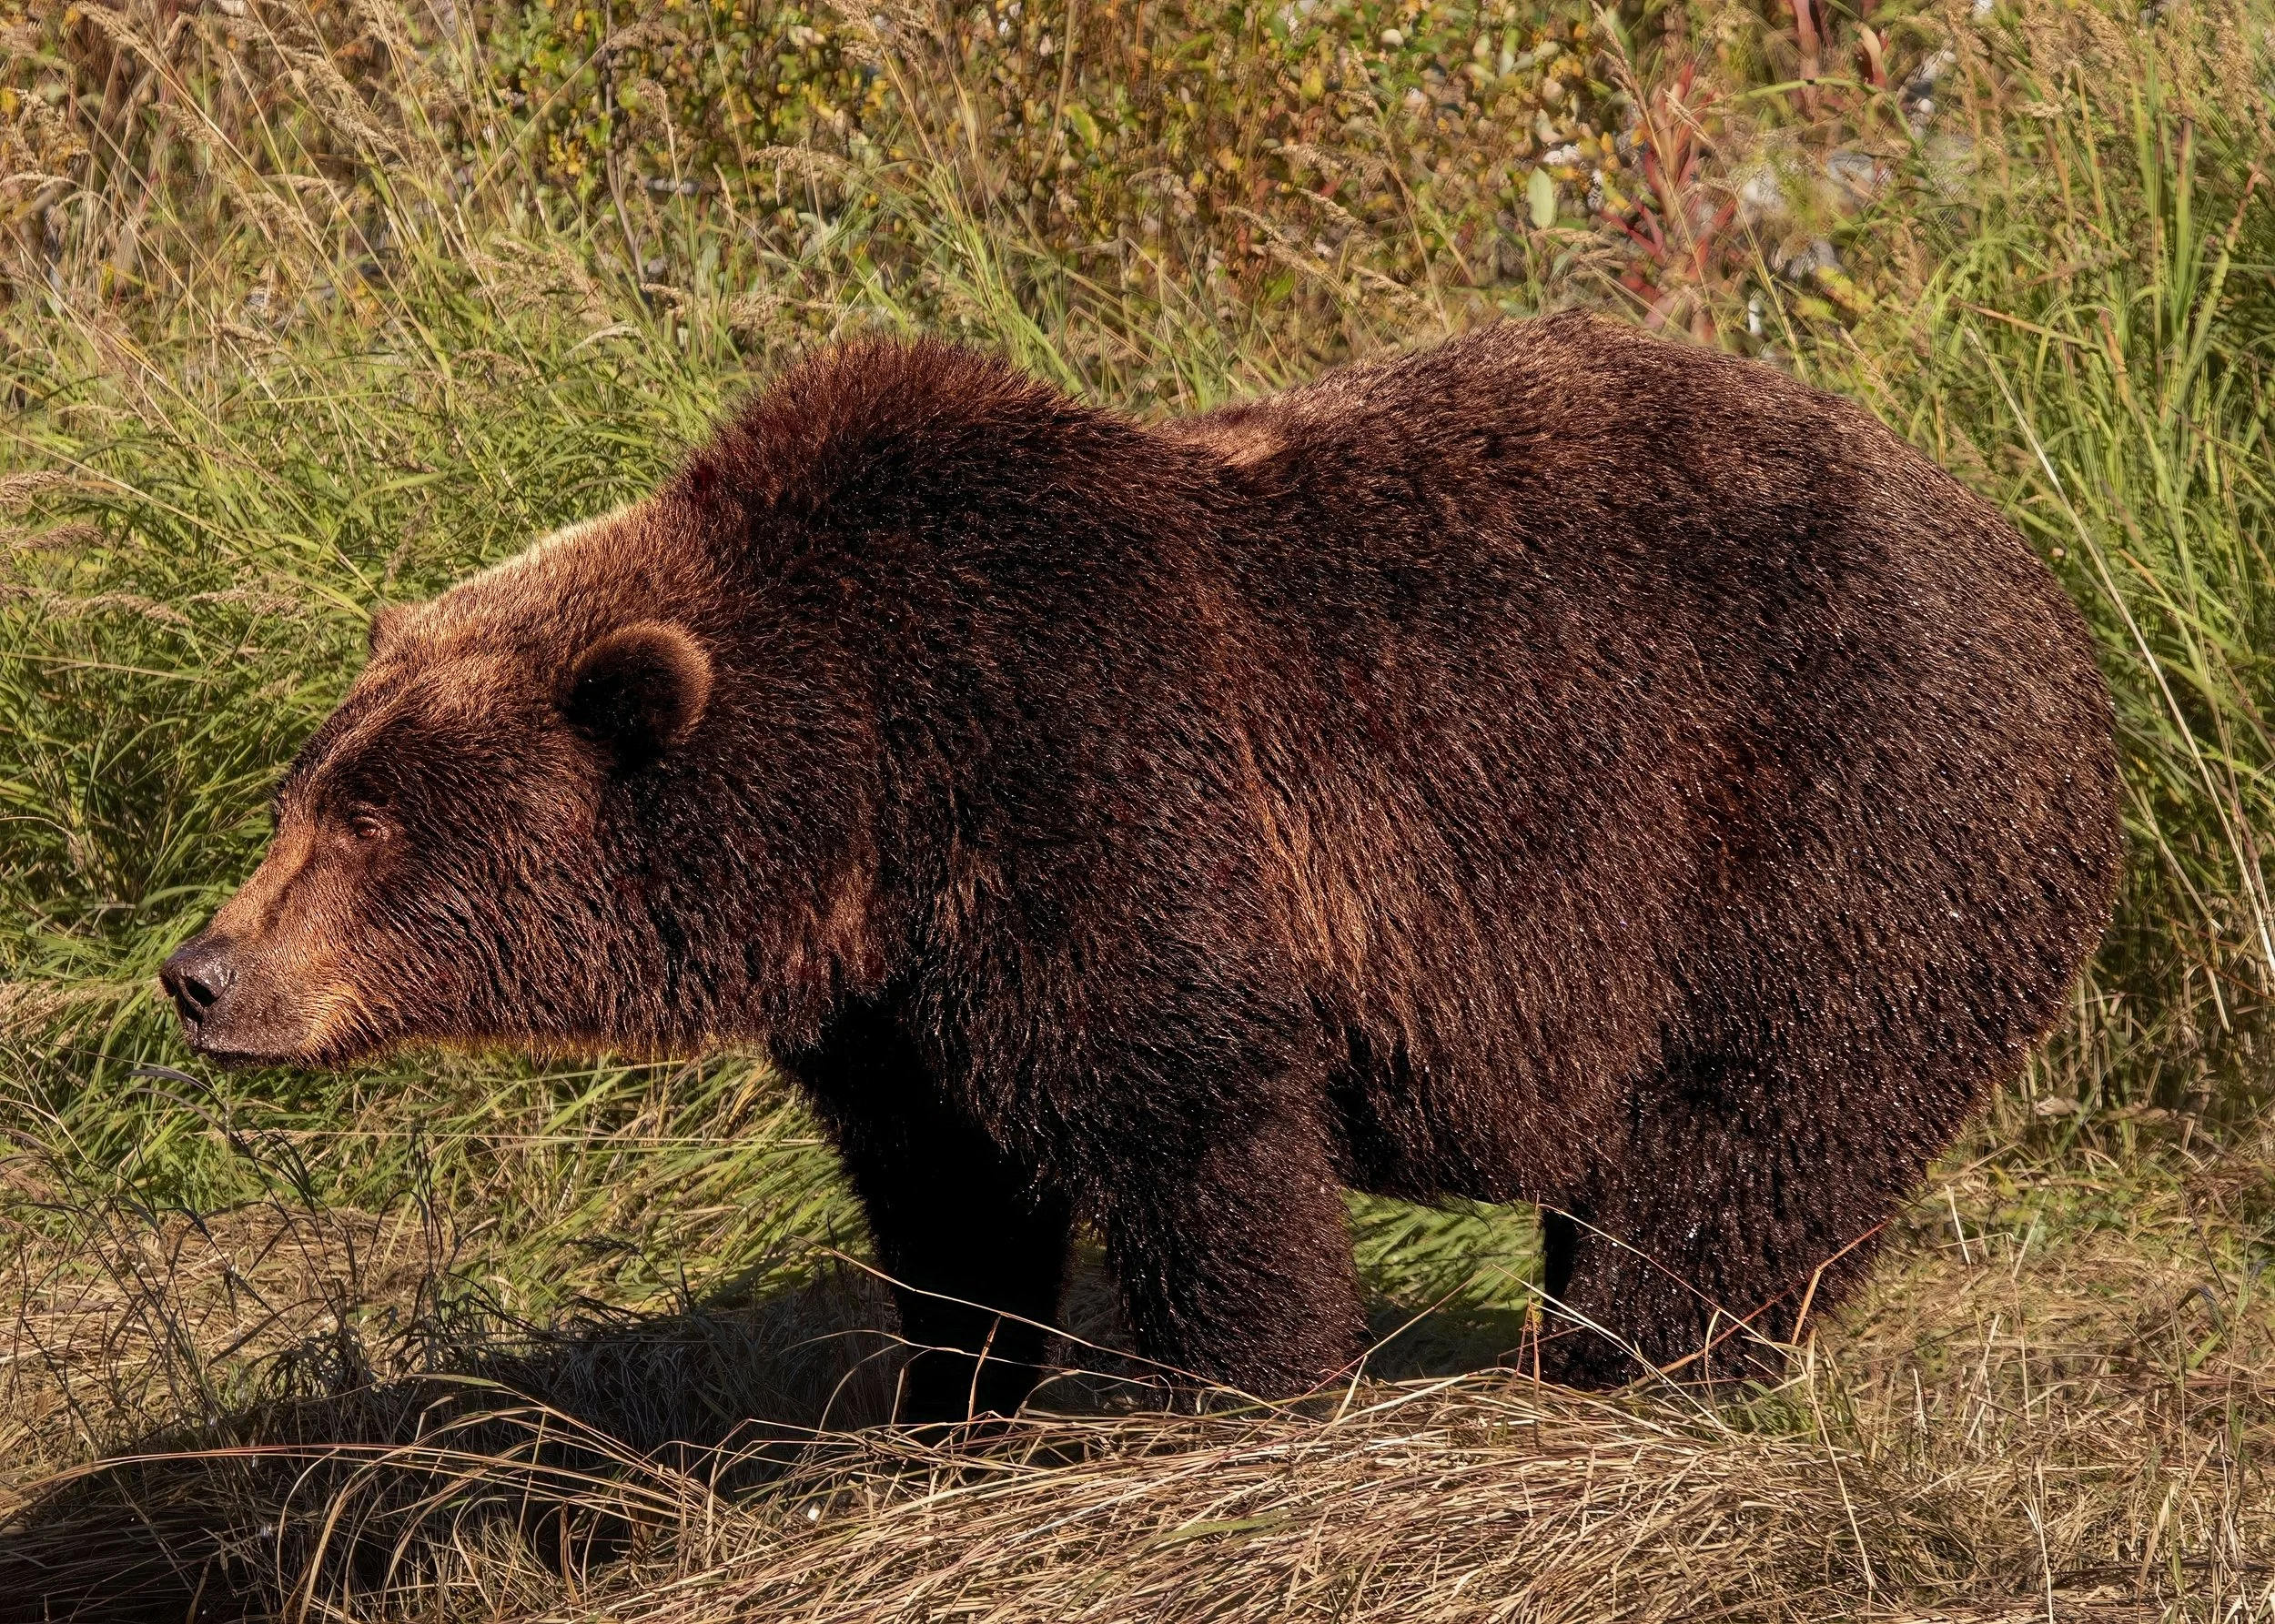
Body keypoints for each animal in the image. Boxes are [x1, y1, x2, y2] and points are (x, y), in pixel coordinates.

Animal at [161, 314, 2121, 1417]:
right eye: (298, 793)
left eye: (368, 822)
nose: (199, 973)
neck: (866, 783)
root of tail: (2039, 587)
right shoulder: (897, 996)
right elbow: (947, 1192)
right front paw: (948, 1396)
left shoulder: (1097, 793)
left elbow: (1194, 1128)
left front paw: (1229, 1394)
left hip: (1835, 825)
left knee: (1742, 1146)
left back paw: (1614, 1371)